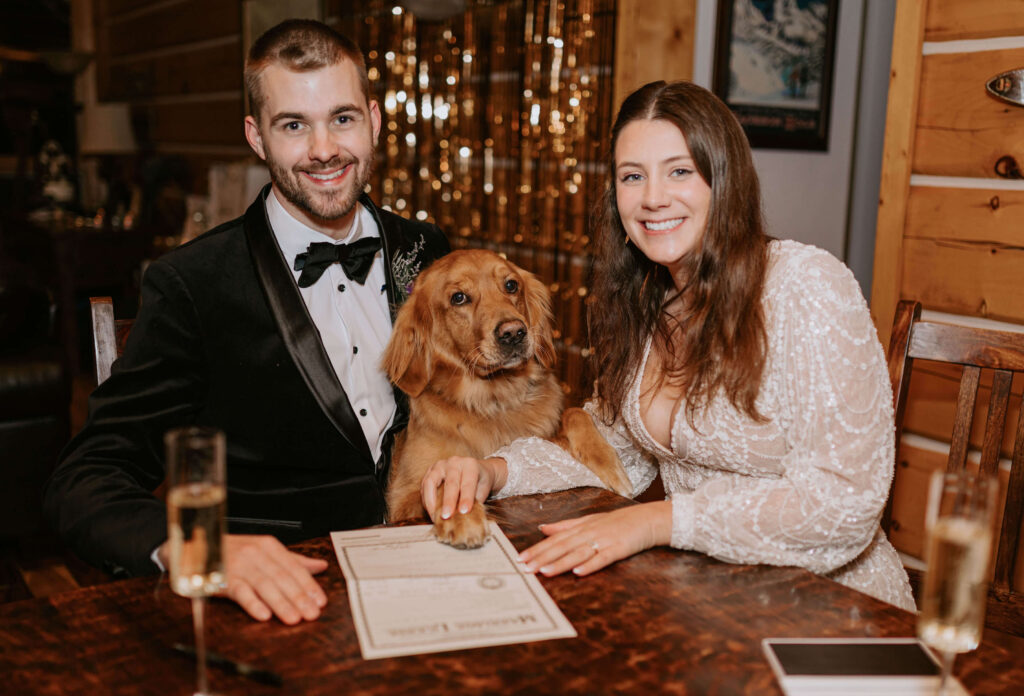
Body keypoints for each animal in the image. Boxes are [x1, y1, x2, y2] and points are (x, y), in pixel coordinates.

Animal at [380, 249, 626, 548]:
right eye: (458, 297)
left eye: (511, 285)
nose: (513, 333)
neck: (494, 402)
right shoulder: (403, 497)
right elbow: (441, 481)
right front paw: (461, 516)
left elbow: (574, 412)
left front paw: (609, 464)